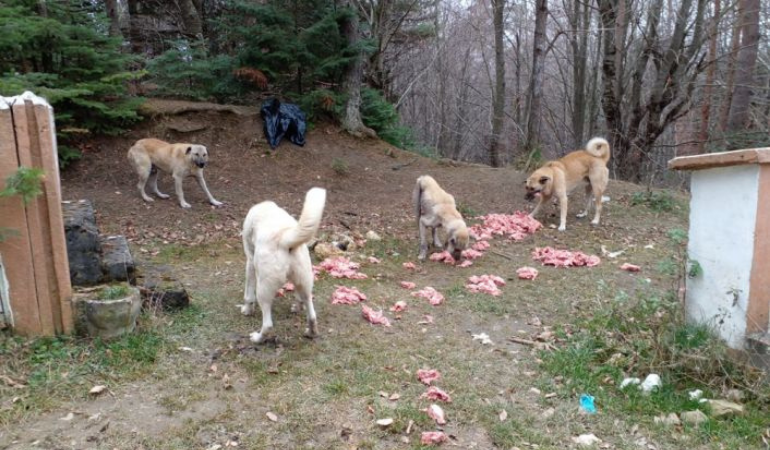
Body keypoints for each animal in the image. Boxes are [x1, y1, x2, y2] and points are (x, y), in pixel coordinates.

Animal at [240, 188, 324, 342]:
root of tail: (285, 239)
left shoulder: (250, 261)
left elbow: (248, 296)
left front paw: (247, 310)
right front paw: (297, 307)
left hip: (263, 290)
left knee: (268, 324)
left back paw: (257, 338)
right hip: (305, 283)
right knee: (312, 314)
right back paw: (311, 332)